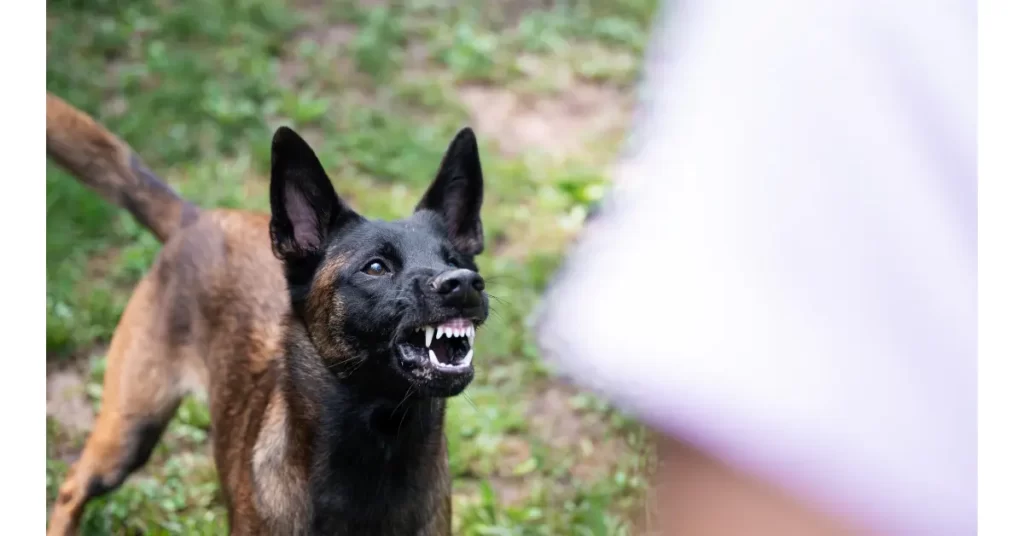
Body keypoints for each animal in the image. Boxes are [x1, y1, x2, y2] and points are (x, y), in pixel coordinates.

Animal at [48, 93, 491, 536]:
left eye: (455, 260)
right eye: (376, 267)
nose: (464, 284)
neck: (381, 442)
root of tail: (196, 218)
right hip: (129, 429)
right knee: (73, 486)